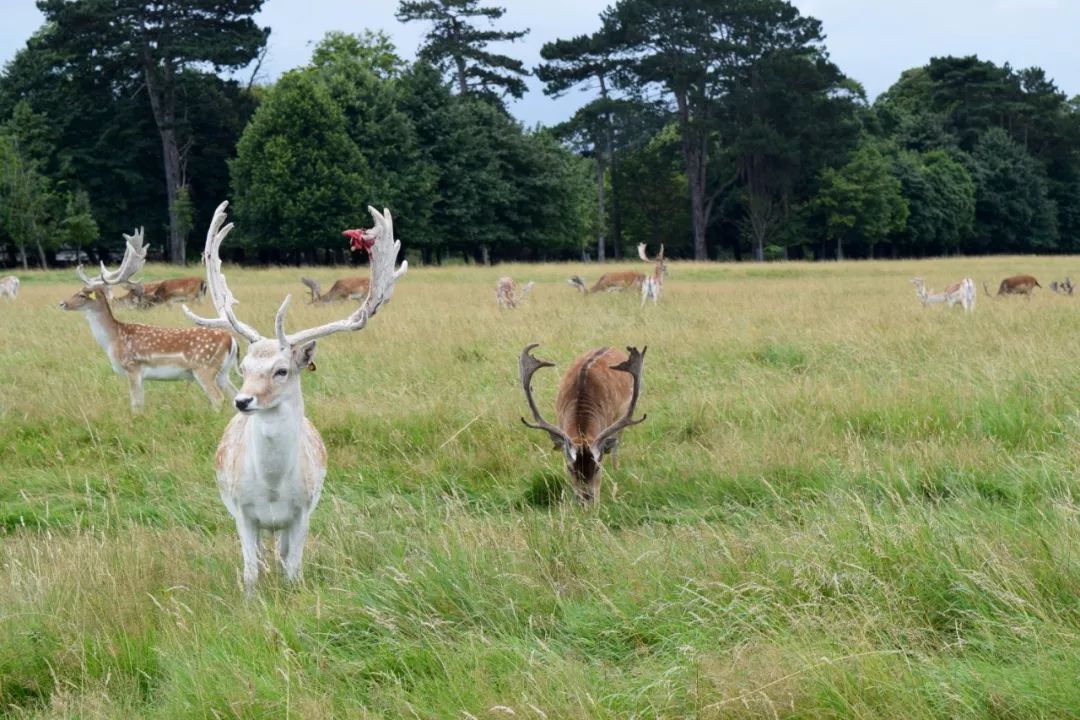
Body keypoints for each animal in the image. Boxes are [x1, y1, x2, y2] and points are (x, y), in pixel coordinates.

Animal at [183, 202, 406, 595]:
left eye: (281, 370)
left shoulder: (303, 511)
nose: (243, 402)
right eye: (244, 367)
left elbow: (293, 569)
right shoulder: (241, 511)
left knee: (282, 553)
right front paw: (251, 598)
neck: (272, 488)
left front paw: (291, 592)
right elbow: (250, 572)